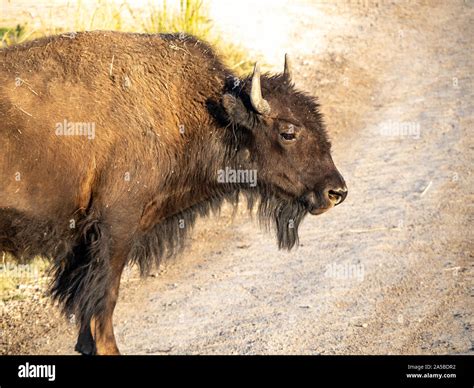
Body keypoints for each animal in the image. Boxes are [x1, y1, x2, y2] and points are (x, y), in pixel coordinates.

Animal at [0, 31, 348, 354]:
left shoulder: (86, 242)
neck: (198, 111)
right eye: (288, 132)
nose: (336, 191)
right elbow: (105, 297)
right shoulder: (116, 227)